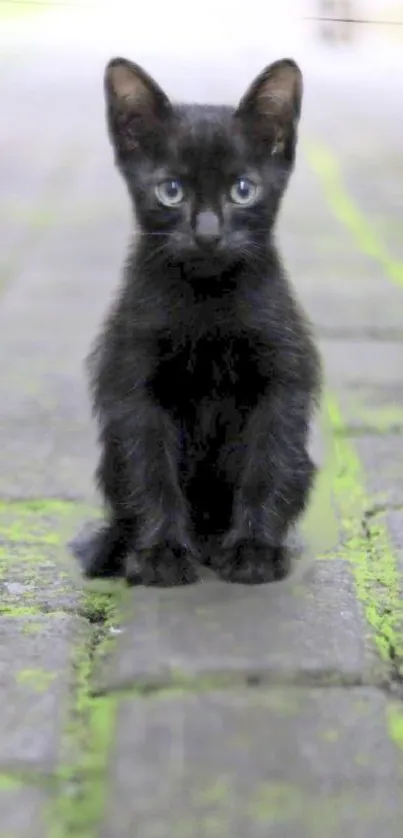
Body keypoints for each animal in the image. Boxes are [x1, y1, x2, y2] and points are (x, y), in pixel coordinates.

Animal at [72, 55, 322, 588]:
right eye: (171, 191)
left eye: (242, 191)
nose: (207, 233)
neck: (207, 302)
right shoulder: (134, 383)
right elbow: (150, 469)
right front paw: (161, 553)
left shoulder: (282, 374)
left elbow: (267, 463)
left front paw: (254, 549)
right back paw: (118, 548)